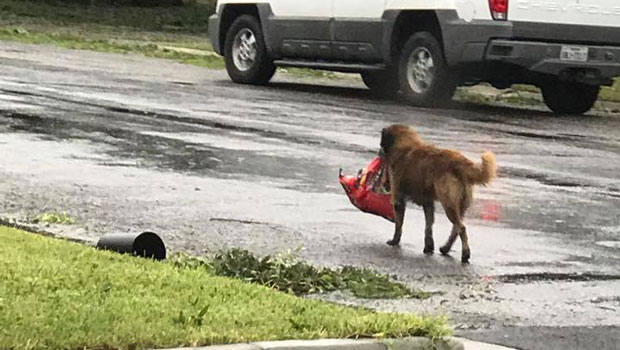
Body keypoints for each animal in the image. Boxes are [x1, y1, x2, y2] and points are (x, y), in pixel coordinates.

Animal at [378, 125, 498, 262]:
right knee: (456, 228)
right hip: (460, 206)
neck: (405, 145)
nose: (379, 152)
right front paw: (429, 247)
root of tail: (460, 162)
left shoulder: (398, 199)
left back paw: (465, 254)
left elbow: (399, 224)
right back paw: (445, 248)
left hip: (448, 204)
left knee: (461, 228)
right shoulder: (428, 203)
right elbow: (428, 226)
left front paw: (394, 241)